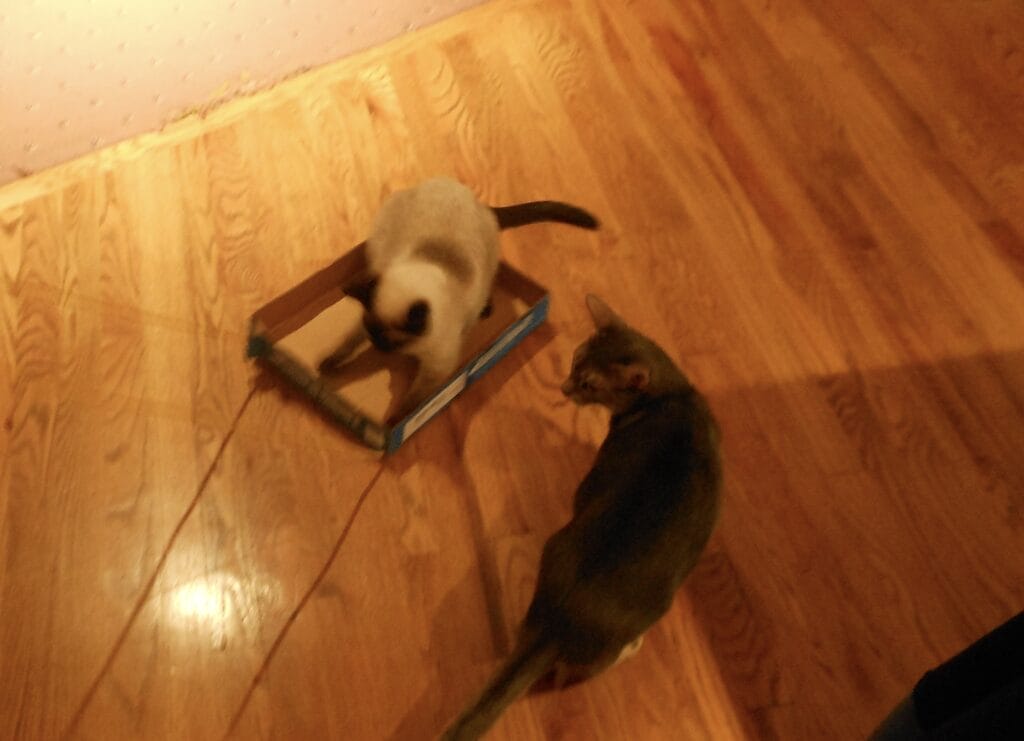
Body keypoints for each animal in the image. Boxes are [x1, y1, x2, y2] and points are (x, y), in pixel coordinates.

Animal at [318, 177, 598, 422]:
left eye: (391, 342)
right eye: (373, 335)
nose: (378, 348)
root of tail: (477, 201)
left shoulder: (436, 367)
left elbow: (413, 402)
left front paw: (393, 421)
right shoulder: (365, 321)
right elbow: (347, 342)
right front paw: (328, 364)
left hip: (487, 268)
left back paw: (487, 308)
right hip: (380, 243)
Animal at [441, 294, 722, 740]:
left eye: (589, 383)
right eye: (574, 361)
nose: (563, 388)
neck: (671, 396)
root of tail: (558, 620)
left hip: (555, 546)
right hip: (650, 608)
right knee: (591, 665)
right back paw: (631, 648)